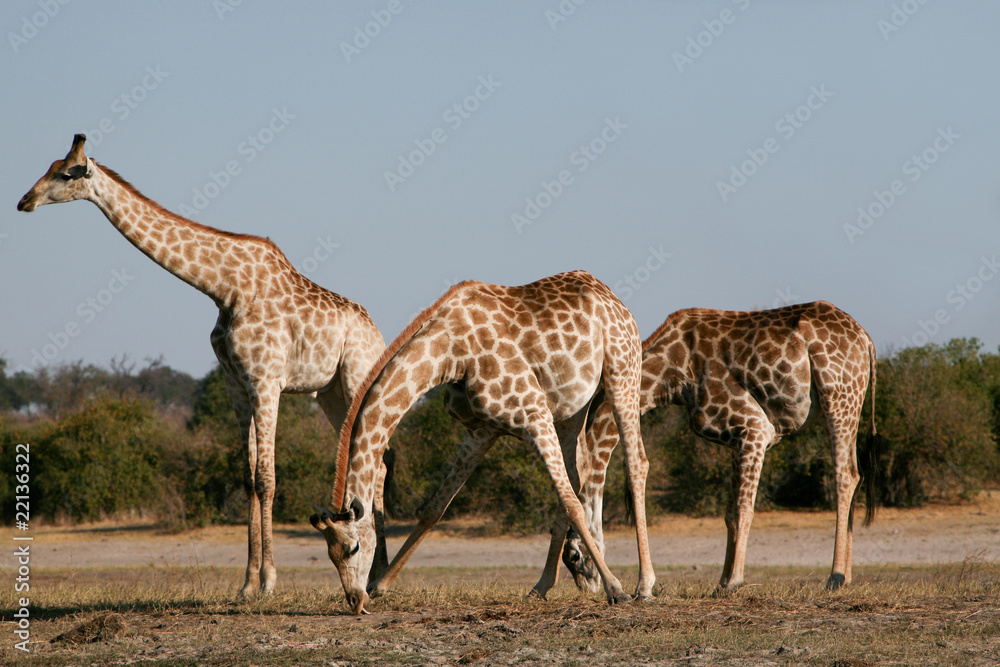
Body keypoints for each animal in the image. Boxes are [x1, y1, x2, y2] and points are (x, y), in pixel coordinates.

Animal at [17, 134, 388, 596]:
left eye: (67, 173)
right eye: (50, 166)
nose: (24, 201)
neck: (224, 288)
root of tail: (378, 334)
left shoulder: (267, 381)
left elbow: (267, 477)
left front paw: (269, 581)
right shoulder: (237, 384)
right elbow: (248, 479)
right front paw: (246, 585)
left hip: (358, 378)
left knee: (379, 460)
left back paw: (380, 579)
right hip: (331, 395)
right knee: (379, 462)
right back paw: (378, 576)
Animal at [310, 270, 655, 614]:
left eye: (353, 548)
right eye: (329, 554)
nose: (355, 601)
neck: (448, 353)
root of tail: (612, 298)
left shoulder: (534, 413)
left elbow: (572, 502)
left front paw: (615, 588)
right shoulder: (480, 431)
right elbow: (434, 508)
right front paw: (380, 585)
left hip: (622, 372)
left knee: (636, 463)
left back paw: (643, 586)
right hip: (573, 408)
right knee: (578, 473)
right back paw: (542, 586)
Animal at [560, 301, 883, 594]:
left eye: (573, 557)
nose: (589, 589)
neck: (672, 375)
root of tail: (866, 339)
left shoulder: (755, 429)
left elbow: (744, 508)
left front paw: (735, 581)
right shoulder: (735, 440)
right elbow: (729, 514)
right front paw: (722, 582)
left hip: (838, 396)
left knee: (846, 476)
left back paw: (835, 577)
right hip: (847, 402)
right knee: (854, 473)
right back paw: (846, 578)